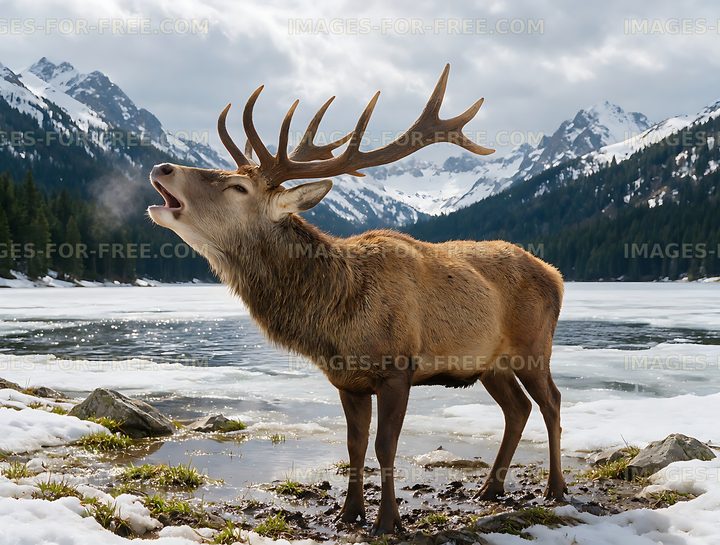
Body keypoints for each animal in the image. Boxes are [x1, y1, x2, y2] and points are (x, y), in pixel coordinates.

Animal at [147, 64, 566, 535]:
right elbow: (355, 445)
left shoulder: (398, 367)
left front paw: (388, 521)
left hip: (534, 345)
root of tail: (557, 276)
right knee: (517, 409)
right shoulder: (347, 379)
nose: (162, 166)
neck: (336, 317)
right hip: (490, 362)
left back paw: (556, 489)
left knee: (551, 402)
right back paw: (490, 488)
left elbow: (386, 446)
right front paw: (348, 514)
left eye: (238, 187)